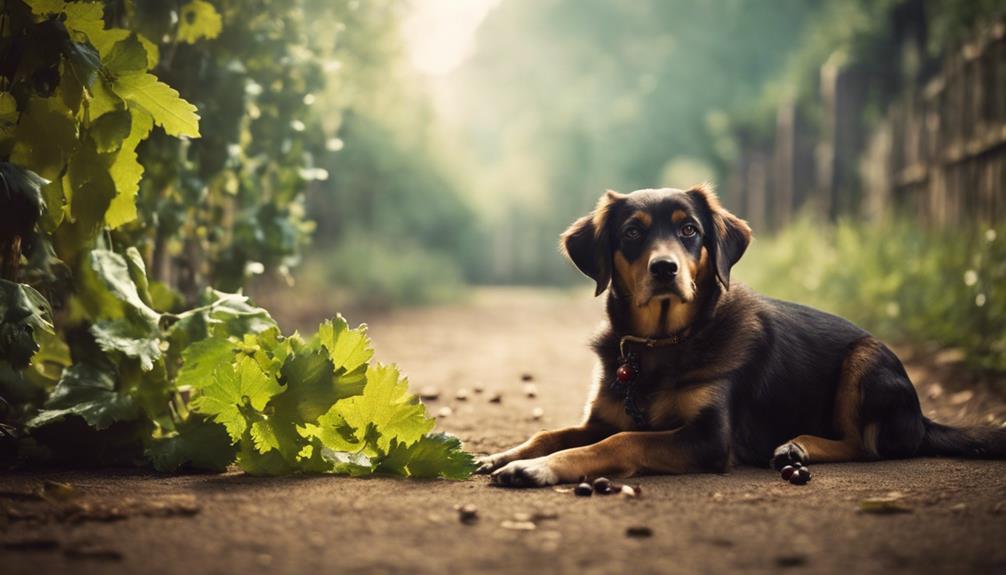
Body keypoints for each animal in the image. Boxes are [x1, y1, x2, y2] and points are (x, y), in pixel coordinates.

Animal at [474, 185, 1006, 486]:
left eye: (690, 230)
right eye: (632, 232)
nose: (664, 269)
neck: (663, 345)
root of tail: (921, 416)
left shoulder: (709, 438)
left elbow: (621, 441)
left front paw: (535, 469)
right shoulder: (599, 417)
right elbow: (552, 433)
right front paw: (503, 455)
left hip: (866, 361)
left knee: (870, 444)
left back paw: (800, 445)